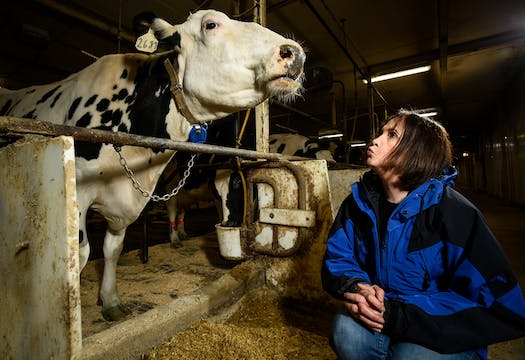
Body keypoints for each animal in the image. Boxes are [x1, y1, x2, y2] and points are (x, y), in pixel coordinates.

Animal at [0, 9, 304, 320]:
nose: (294, 53)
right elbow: (82, 255)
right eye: (211, 24)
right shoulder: (77, 193)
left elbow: (113, 248)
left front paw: (110, 301)